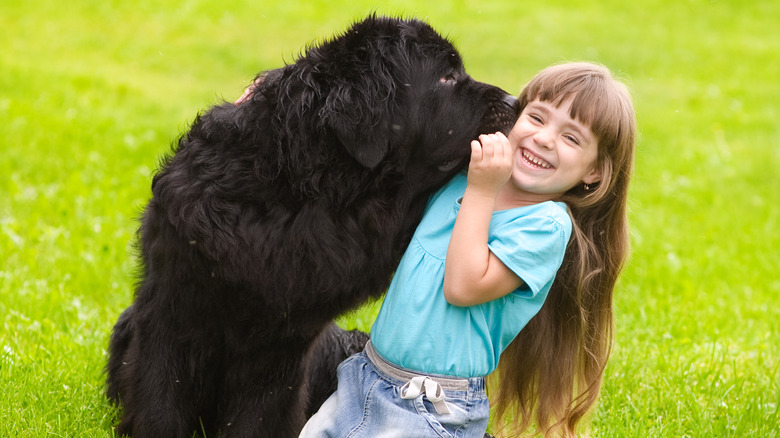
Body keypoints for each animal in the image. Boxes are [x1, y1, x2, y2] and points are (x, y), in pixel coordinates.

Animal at [105, 15, 516, 436]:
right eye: (446, 77)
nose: (515, 102)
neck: (302, 189)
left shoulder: (281, 345)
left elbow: (260, 416)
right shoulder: (172, 312)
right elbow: (161, 401)